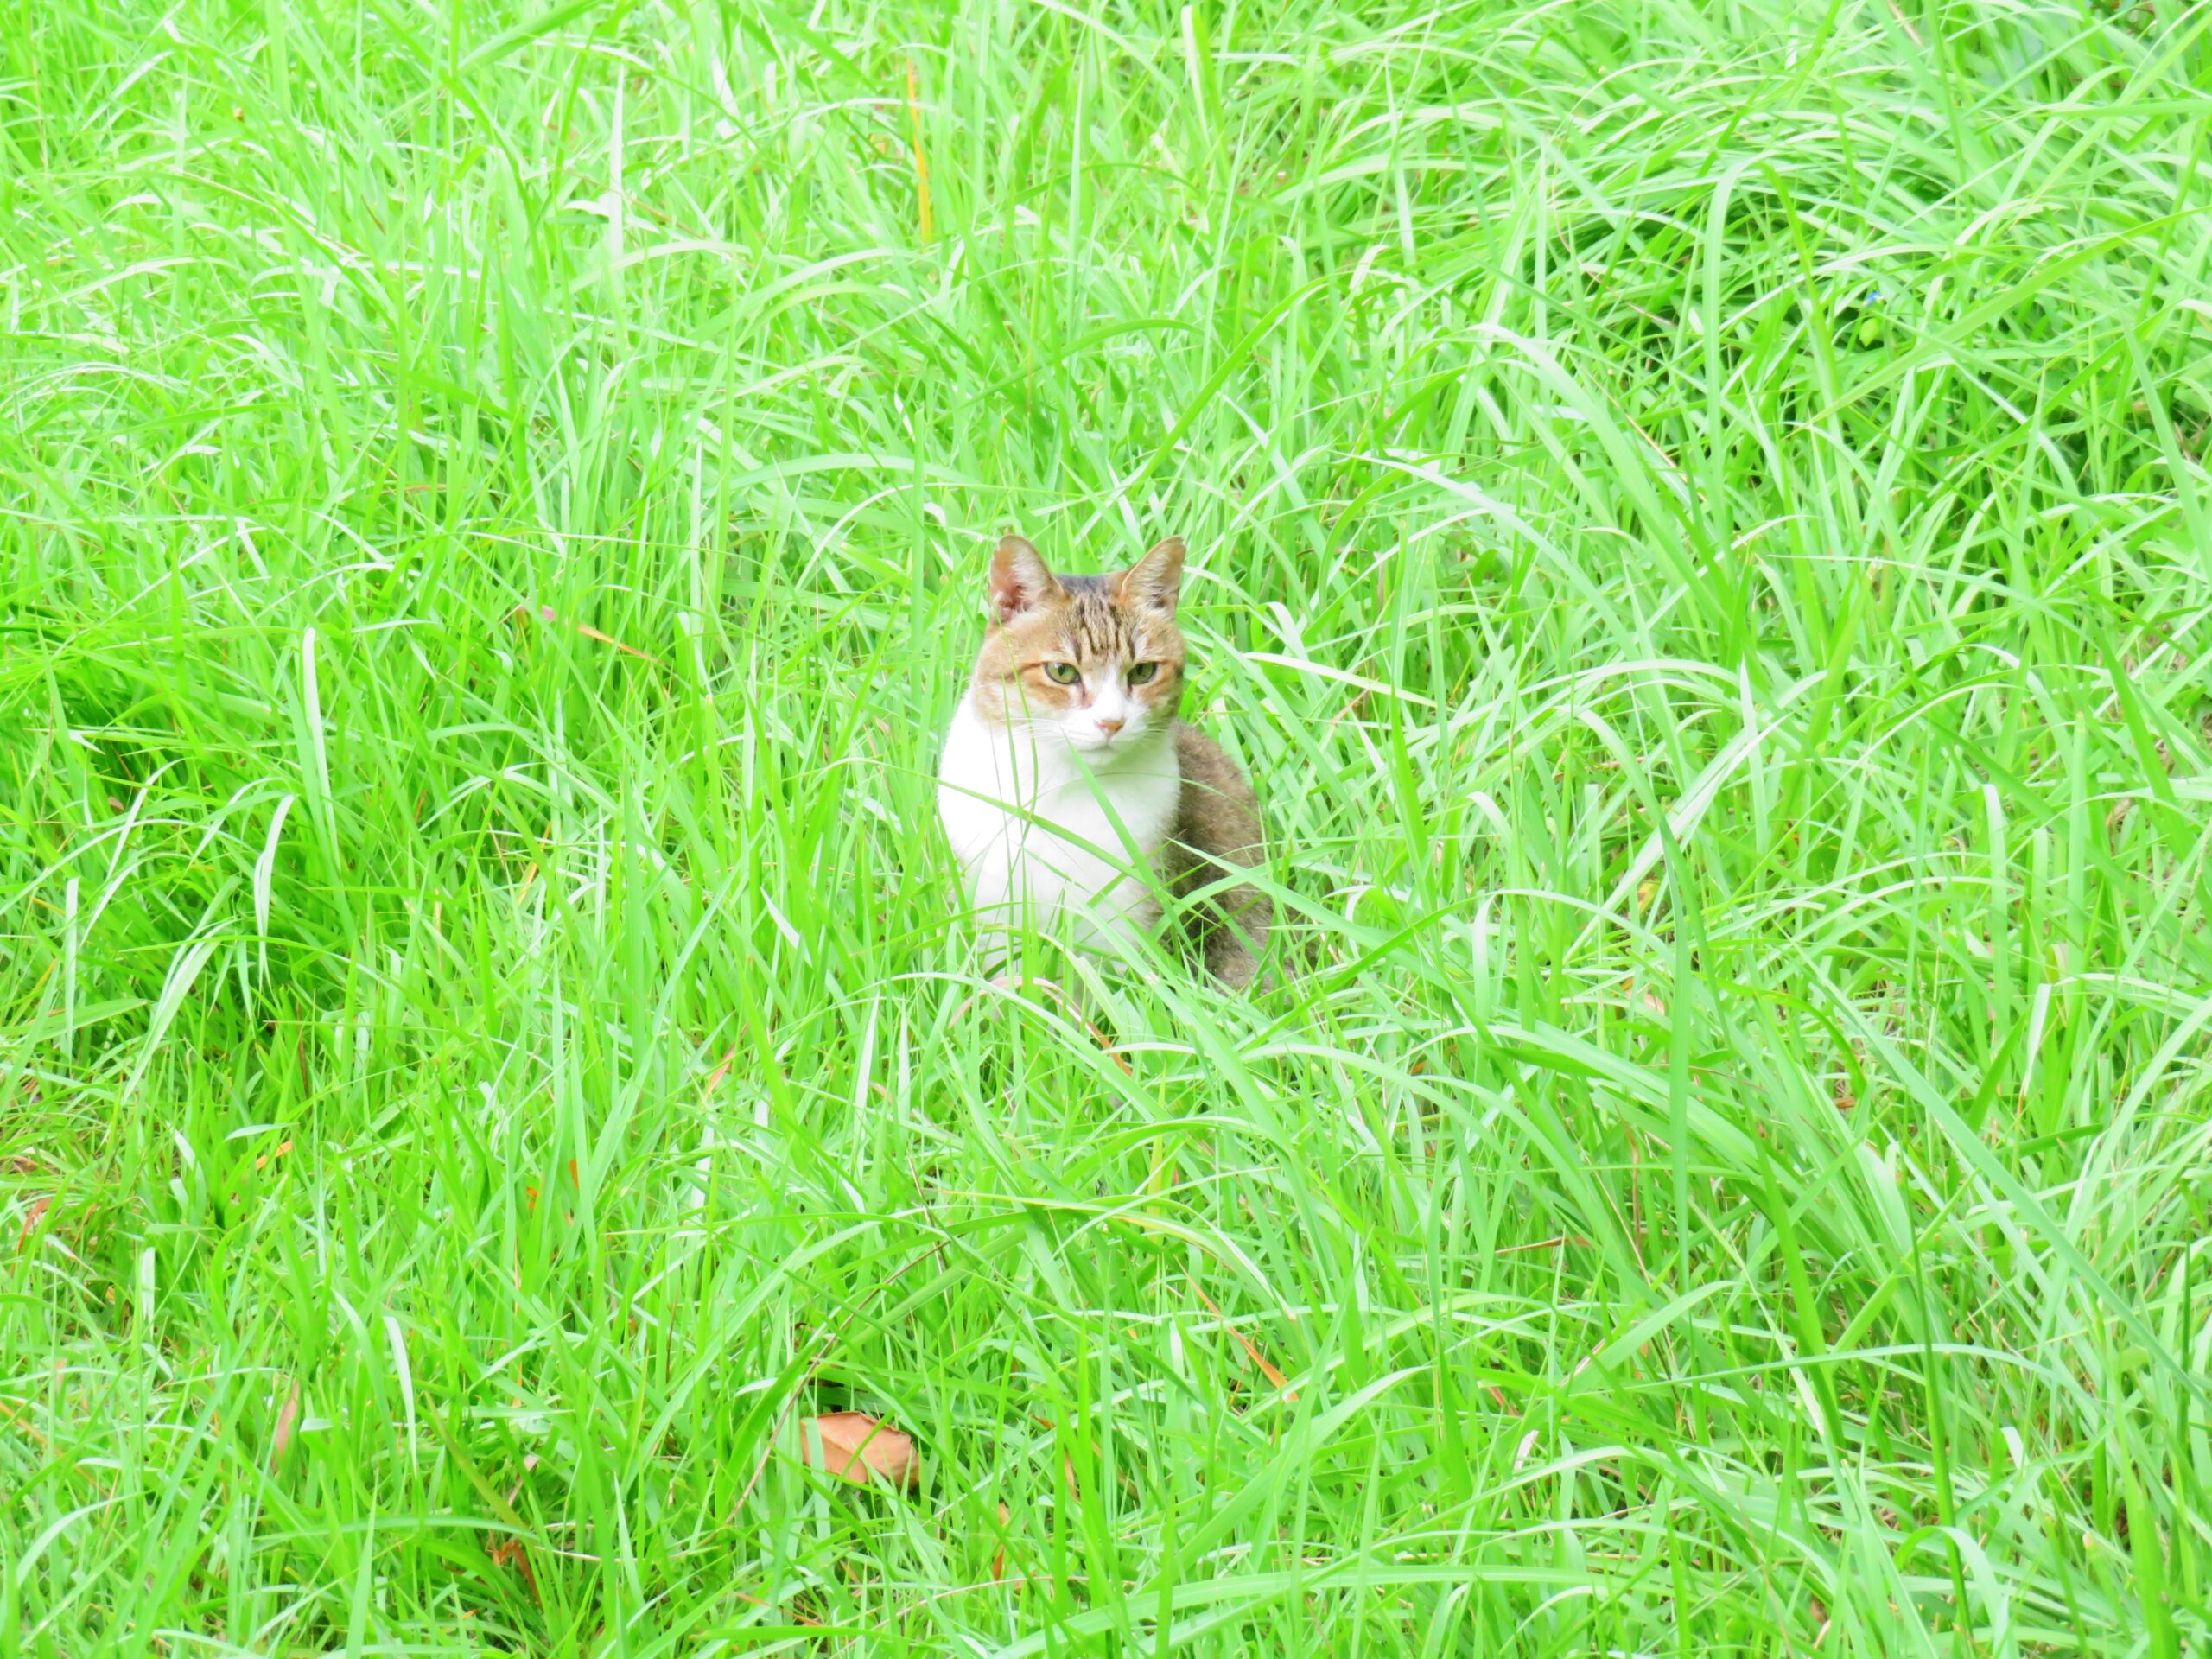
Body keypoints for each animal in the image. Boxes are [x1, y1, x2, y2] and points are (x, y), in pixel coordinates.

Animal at [938, 539, 1282, 995]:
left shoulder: (1131, 925)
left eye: (1143, 671)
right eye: (1061, 672)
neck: (1062, 785)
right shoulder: (991, 910)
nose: (1111, 722)